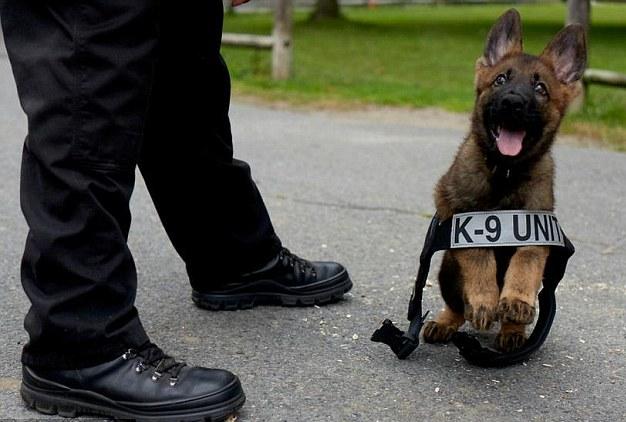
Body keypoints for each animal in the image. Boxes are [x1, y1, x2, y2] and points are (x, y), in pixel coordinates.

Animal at [420, 9, 584, 352]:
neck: (506, 172)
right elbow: (480, 257)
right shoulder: (461, 216)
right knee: (457, 307)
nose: (512, 102)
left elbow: (526, 261)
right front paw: (484, 300)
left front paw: (516, 301)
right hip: (447, 269)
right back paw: (447, 321)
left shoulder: (537, 226)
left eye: (540, 88)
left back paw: (512, 329)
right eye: (500, 80)